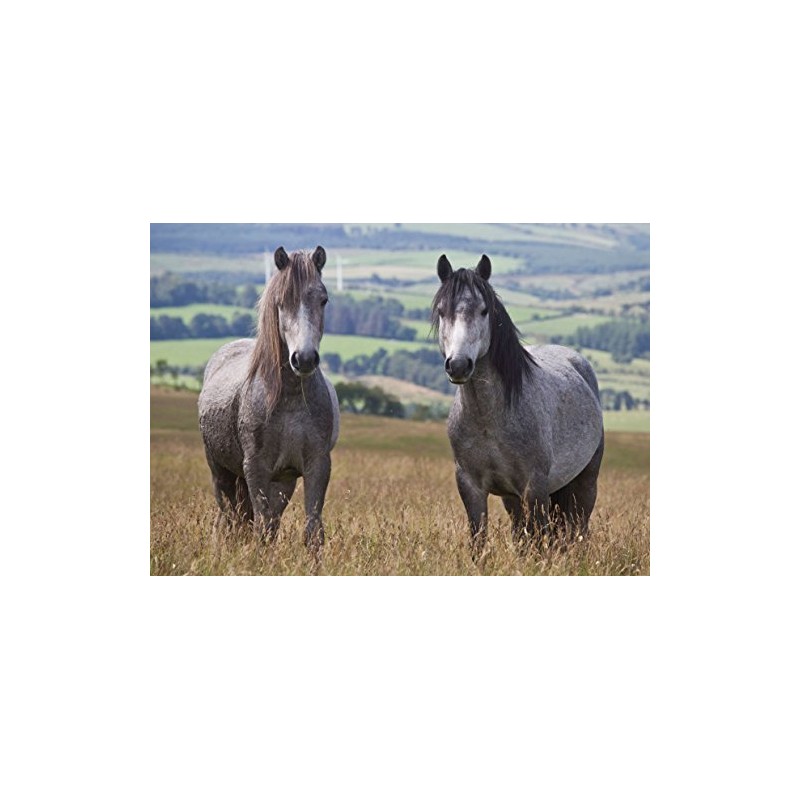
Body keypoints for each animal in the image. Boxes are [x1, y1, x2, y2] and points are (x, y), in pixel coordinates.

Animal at [198, 246, 339, 551]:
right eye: (281, 301)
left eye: (323, 300)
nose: (304, 359)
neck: (290, 399)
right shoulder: (255, 469)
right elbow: (260, 530)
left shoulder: (317, 466)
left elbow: (312, 531)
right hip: (221, 473)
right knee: (229, 518)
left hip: (282, 481)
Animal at [432, 253, 604, 553]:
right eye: (442, 311)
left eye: (483, 311)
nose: (458, 365)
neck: (489, 419)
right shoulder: (471, 486)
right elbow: (480, 540)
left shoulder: (534, 488)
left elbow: (539, 539)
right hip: (513, 498)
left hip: (584, 483)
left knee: (578, 529)